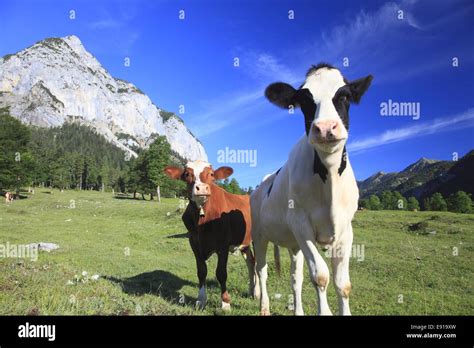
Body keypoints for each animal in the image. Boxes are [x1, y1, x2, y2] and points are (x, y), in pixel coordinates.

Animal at [165, 160, 258, 310]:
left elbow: (221, 273)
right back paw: (251, 291)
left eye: (212, 174)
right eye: (187, 174)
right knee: (251, 263)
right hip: (244, 242)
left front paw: (225, 302)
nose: (202, 188)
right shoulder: (194, 243)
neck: (203, 219)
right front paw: (201, 300)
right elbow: (201, 271)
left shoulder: (223, 245)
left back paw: (257, 293)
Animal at [250, 62, 372, 316]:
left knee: (295, 277)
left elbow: (342, 284)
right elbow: (321, 276)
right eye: (304, 101)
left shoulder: (346, 230)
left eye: (344, 96)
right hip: (259, 235)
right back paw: (264, 306)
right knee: (261, 270)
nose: (325, 127)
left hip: (293, 244)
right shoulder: (300, 224)